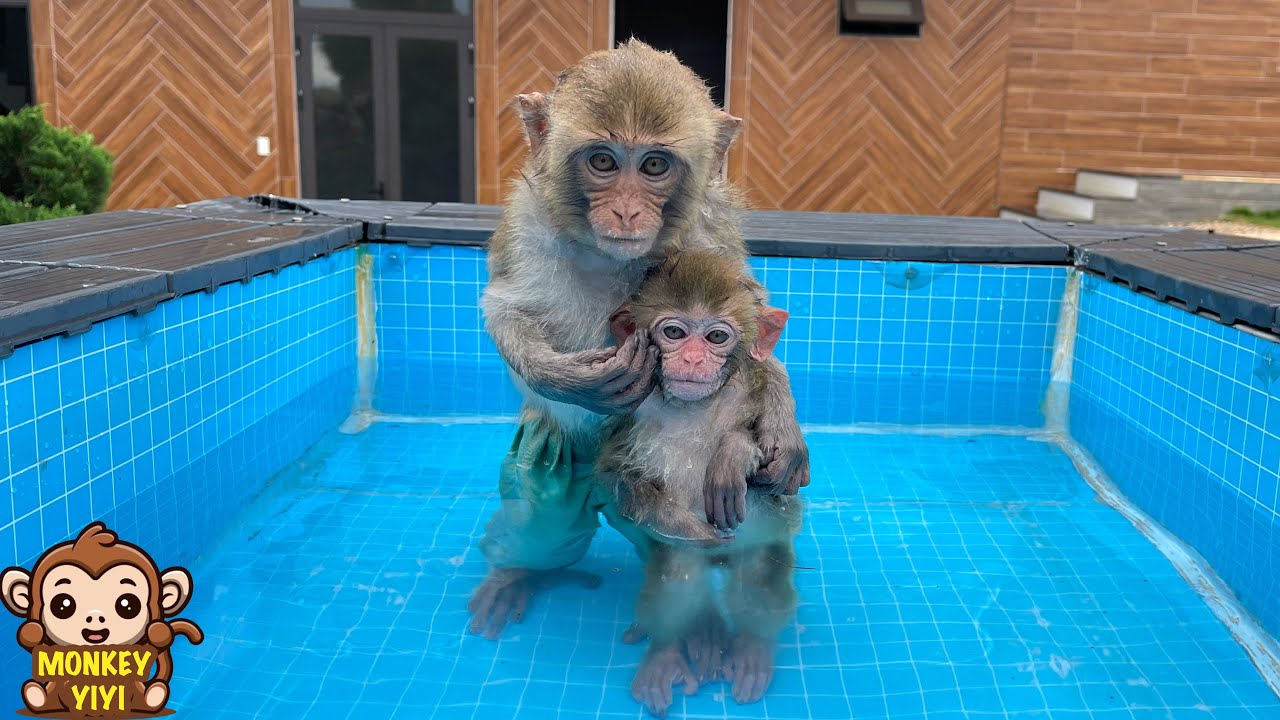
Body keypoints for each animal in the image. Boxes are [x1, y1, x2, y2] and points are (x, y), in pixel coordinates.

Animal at [468, 38, 810, 642]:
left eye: (653, 165)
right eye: (604, 161)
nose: (627, 210)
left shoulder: (709, 229)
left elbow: (749, 319)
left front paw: (778, 411)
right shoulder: (527, 224)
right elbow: (507, 308)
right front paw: (558, 376)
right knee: (539, 521)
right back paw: (517, 571)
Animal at [593, 250, 804, 717]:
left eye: (716, 336)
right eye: (674, 332)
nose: (691, 359)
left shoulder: (753, 389)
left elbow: (778, 474)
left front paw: (733, 454)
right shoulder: (624, 410)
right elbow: (618, 478)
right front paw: (690, 528)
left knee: (758, 570)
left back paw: (751, 648)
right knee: (679, 571)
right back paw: (667, 653)